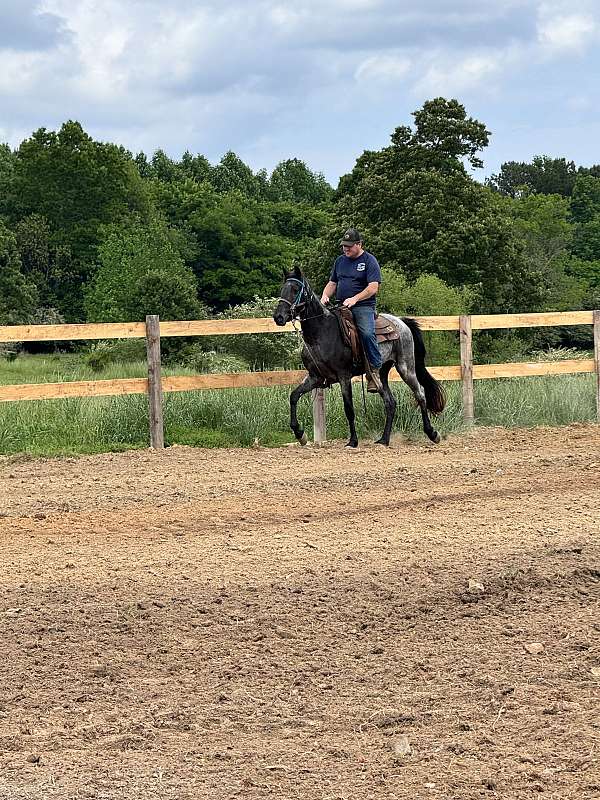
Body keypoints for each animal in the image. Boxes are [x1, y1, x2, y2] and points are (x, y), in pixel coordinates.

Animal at [272, 264, 446, 446]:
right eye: (282, 289)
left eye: (295, 289)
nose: (278, 317)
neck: (321, 333)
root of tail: (401, 322)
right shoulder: (315, 377)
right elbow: (293, 396)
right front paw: (300, 434)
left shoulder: (343, 376)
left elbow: (349, 409)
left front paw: (353, 441)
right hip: (381, 373)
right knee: (390, 403)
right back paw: (384, 439)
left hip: (406, 367)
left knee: (420, 394)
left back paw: (432, 433)